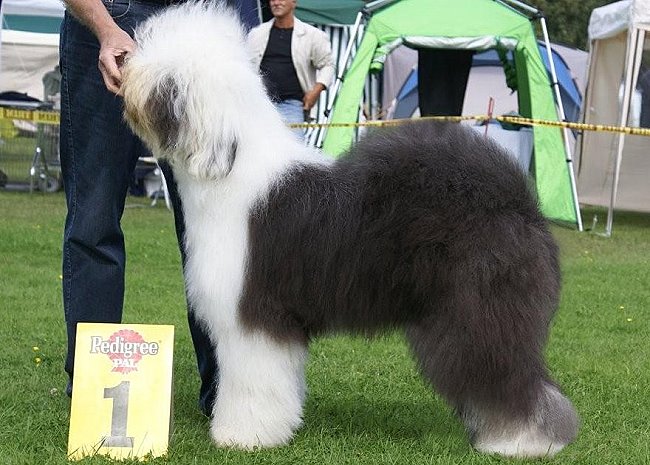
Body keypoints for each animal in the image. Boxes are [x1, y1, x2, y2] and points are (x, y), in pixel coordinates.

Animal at [121, 2, 578, 457]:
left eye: (167, 78)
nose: (123, 66)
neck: (230, 166)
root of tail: (517, 200)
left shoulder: (253, 314)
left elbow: (253, 384)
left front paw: (242, 436)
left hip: (479, 311)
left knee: (510, 375)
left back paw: (522, 440)